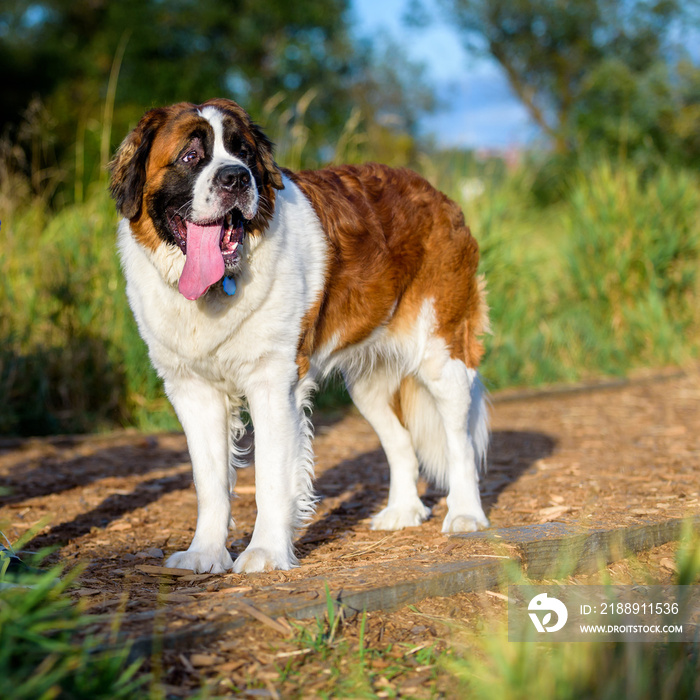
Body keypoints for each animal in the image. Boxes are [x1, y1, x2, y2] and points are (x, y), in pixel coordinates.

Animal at [110, 98, 492, 576]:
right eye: (190, 156)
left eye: (244, 152)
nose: (236, 177)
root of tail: (437, 195)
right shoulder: (192, 391)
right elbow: (209, 480)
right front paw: (205, 553)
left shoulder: (273, 384)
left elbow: (271, 477)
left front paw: (265, 553)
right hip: (368, 384)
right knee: (400, 440)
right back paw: (402, 511)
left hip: (443, 356)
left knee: (459, 440)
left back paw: (465, 514)